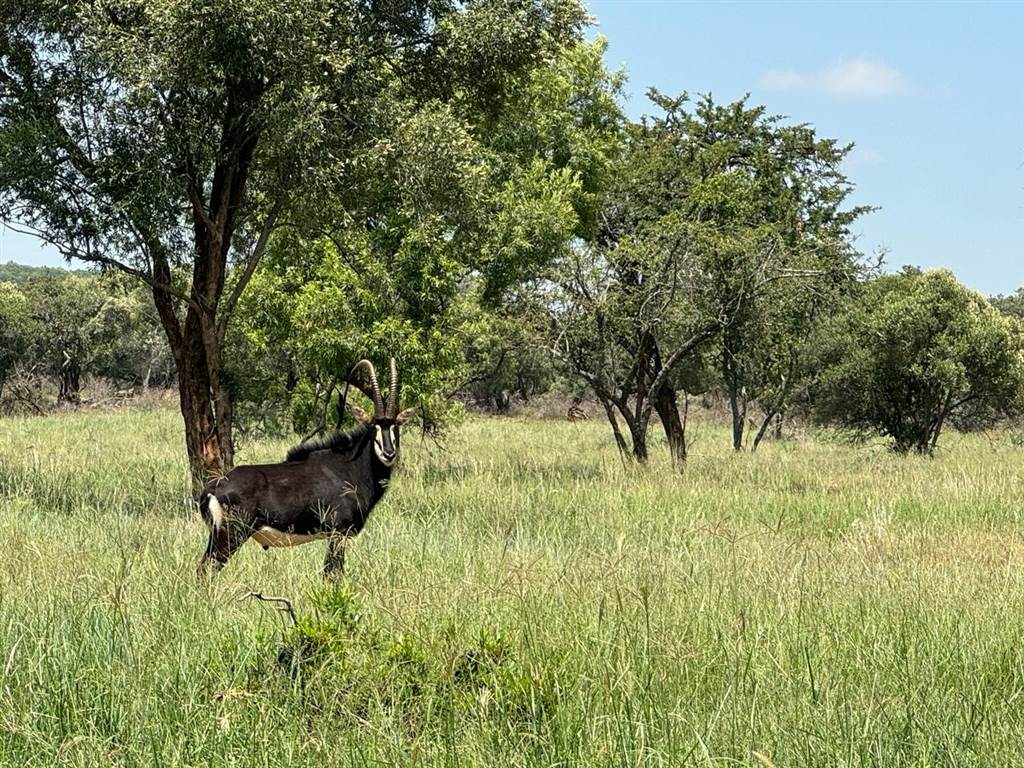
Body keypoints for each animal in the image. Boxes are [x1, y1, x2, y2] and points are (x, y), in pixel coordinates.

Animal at [197, 358, 413, 581]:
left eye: (396, 426)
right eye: (373, 427)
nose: (389, 453)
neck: (350, 467)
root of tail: (213, 487)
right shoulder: (339, 532)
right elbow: (332, 574)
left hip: (218, 535)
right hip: (231, 534)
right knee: (207, 570)